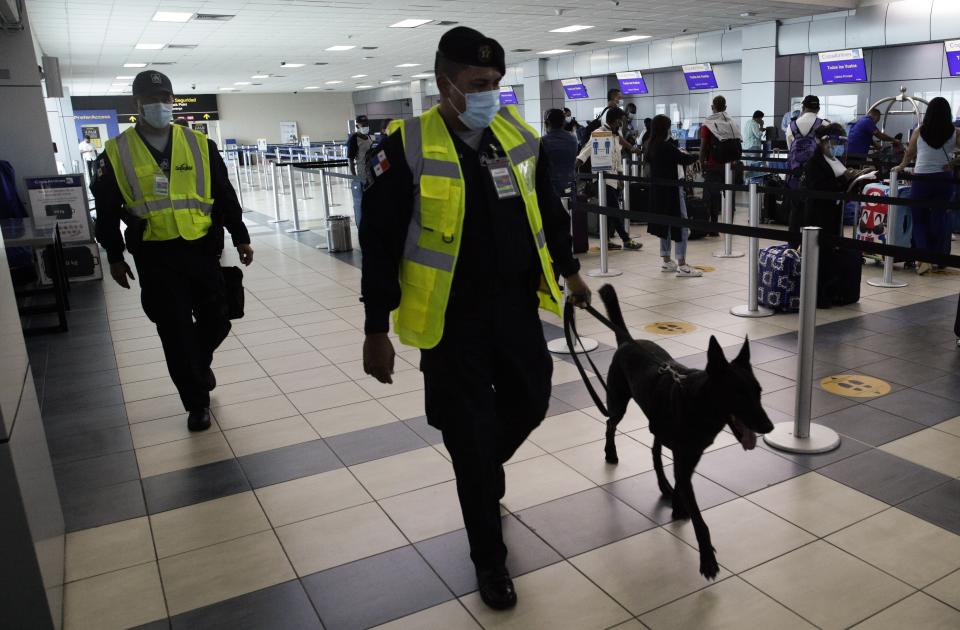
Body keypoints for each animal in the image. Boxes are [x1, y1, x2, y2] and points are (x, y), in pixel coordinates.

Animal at [596, 284, 776, 580]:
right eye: (738, 394)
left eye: (758, 392)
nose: (769, 427)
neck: (701, 404)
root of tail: (627, 341)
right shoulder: (683, 458)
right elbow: (700, 520)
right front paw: (708, 560)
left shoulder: (689, 459)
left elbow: (681, 482)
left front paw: (679, 506)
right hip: (619, 402)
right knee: (611, 424)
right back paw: (610, 453)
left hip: (657, 419)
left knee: (655, 448)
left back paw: (664, 486)